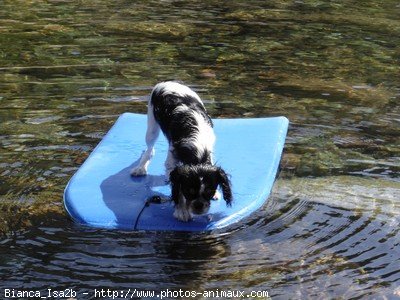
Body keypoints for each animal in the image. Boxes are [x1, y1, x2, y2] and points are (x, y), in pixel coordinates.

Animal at [130, 81, 233, 221]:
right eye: (188, 191)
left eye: (209, 191)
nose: (198, 206)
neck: (198, 148)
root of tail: (168, 82)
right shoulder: (172, 159)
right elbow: (177, 189)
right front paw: (181, 211)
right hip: (152, 126)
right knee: (150, 149)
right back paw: (140, 168)